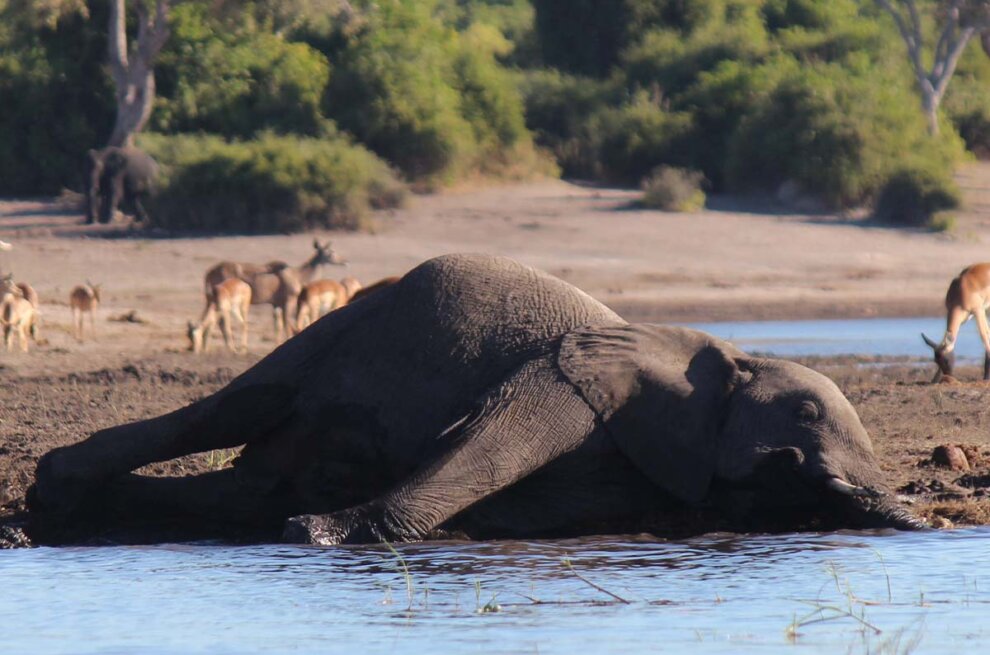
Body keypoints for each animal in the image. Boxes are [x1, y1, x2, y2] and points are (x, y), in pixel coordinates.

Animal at [27, 254, 928, 544]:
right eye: (804, 414)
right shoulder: (570, 381)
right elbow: (485, 448)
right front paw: (317, 535)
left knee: (237, 488)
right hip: (344, 327)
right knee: (228, 410)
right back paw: (52, 493)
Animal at [203, 241, 346, 344]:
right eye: (331, 252)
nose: (344, 261)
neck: (298, 275)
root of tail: (209, 272)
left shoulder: (276, 304)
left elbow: (278, 326)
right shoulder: (288, 301)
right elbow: (286, 324)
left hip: (211, 300)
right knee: (221, 322)